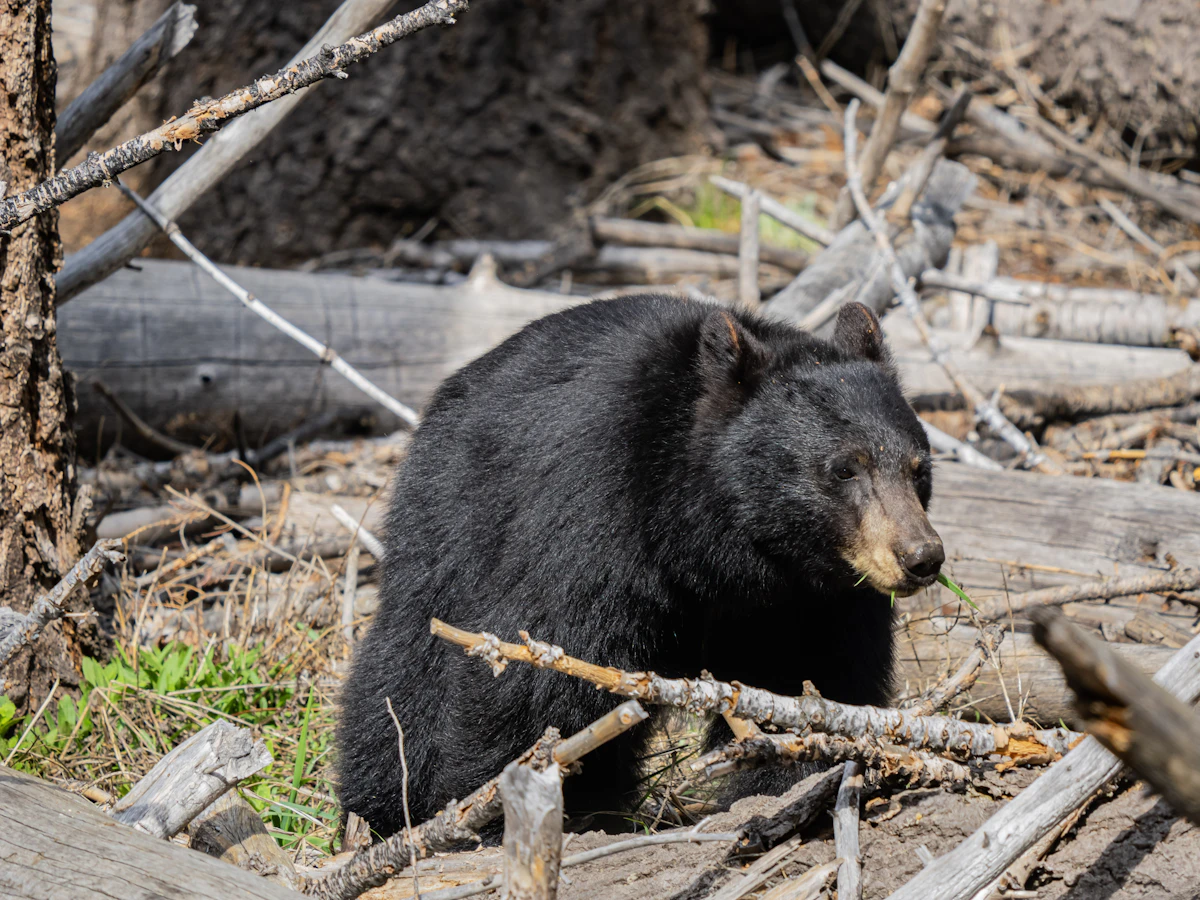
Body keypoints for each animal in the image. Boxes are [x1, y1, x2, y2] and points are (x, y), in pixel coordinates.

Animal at [335, 294, 944, 837]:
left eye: (919, 468)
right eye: (844, 468)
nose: (922, 557)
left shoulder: (811, 596)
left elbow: (813, 675)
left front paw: (792, 783)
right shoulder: (594, 499)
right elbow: (543, 667)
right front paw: (504, 804)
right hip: (451, 512)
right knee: (408, 662)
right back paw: (383, 806)